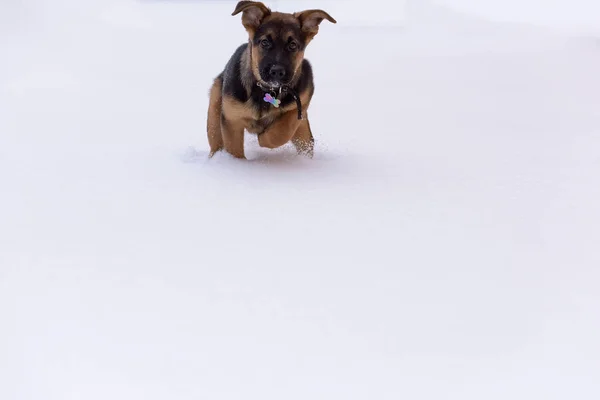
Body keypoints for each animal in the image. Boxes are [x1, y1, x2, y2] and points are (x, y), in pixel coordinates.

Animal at [207, 0, 338, 159]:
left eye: (292, 45)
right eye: (264, 42)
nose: (276, 71)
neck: (267, 91)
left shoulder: (301, 101)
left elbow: (282, 130)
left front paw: (264, 138)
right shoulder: (232, 120)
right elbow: (234, 150)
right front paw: (237, 164)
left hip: (304, 134)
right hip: (215, 106)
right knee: (215, 138)